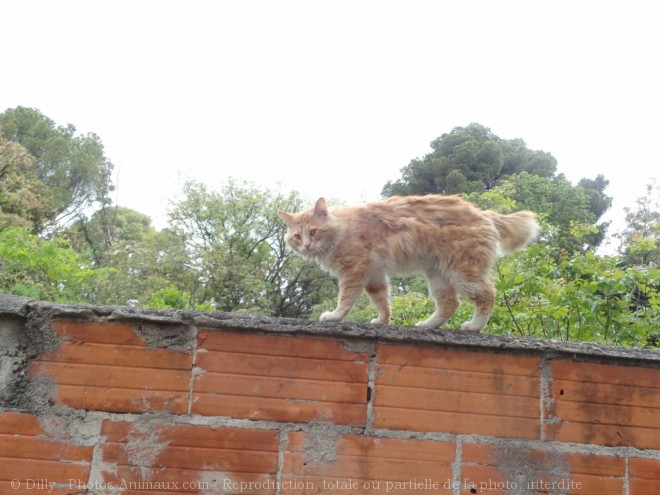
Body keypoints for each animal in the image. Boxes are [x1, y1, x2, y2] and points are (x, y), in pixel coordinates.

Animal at [278, 196, 536, 332]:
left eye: (313, 231)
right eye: (297, 237)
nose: (306, 246)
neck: (342, 228)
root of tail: (483, 212)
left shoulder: (354, 271)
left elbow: (346, 300)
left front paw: (335, 316)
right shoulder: (374, 275)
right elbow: (382, 301)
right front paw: (382, 321)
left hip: (462, 273)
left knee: (487, 294)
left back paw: (474, 326)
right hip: (438, 275)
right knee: (449, 304)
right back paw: (428, 325)